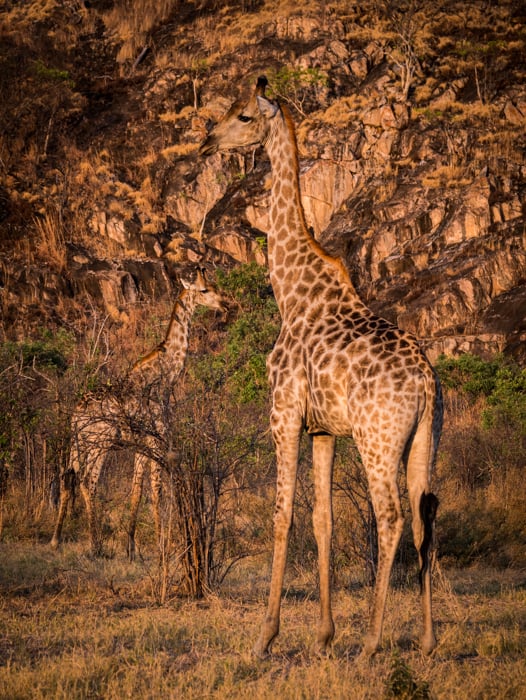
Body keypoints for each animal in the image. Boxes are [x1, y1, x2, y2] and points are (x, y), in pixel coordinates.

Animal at [50, 268, 225, 558]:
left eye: (213, 286)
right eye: (204, 290)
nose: (223, 304)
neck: (166, 375)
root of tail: (76, 414)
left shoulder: (140, 444)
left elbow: (136, 490)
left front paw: (131, 548)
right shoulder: (156, 438)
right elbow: (156, 490)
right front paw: (161, 544)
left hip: (78, 443)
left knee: (68, 478)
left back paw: (56, 539)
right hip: (101, 442)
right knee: (88, 481)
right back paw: (95, 544)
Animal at [200, 77, 442, 659]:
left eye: (244, 116)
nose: (206, 141)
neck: (291, 291)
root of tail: (426, 384)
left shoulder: (283, 413)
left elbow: (283, 514)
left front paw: (266, 636)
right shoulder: (324, 429)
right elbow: (323, 519)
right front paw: (324, 635)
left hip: (378, 439)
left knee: (391, 516)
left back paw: (373, 641)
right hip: (425, 435)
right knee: (424, 516)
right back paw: (426, 640)